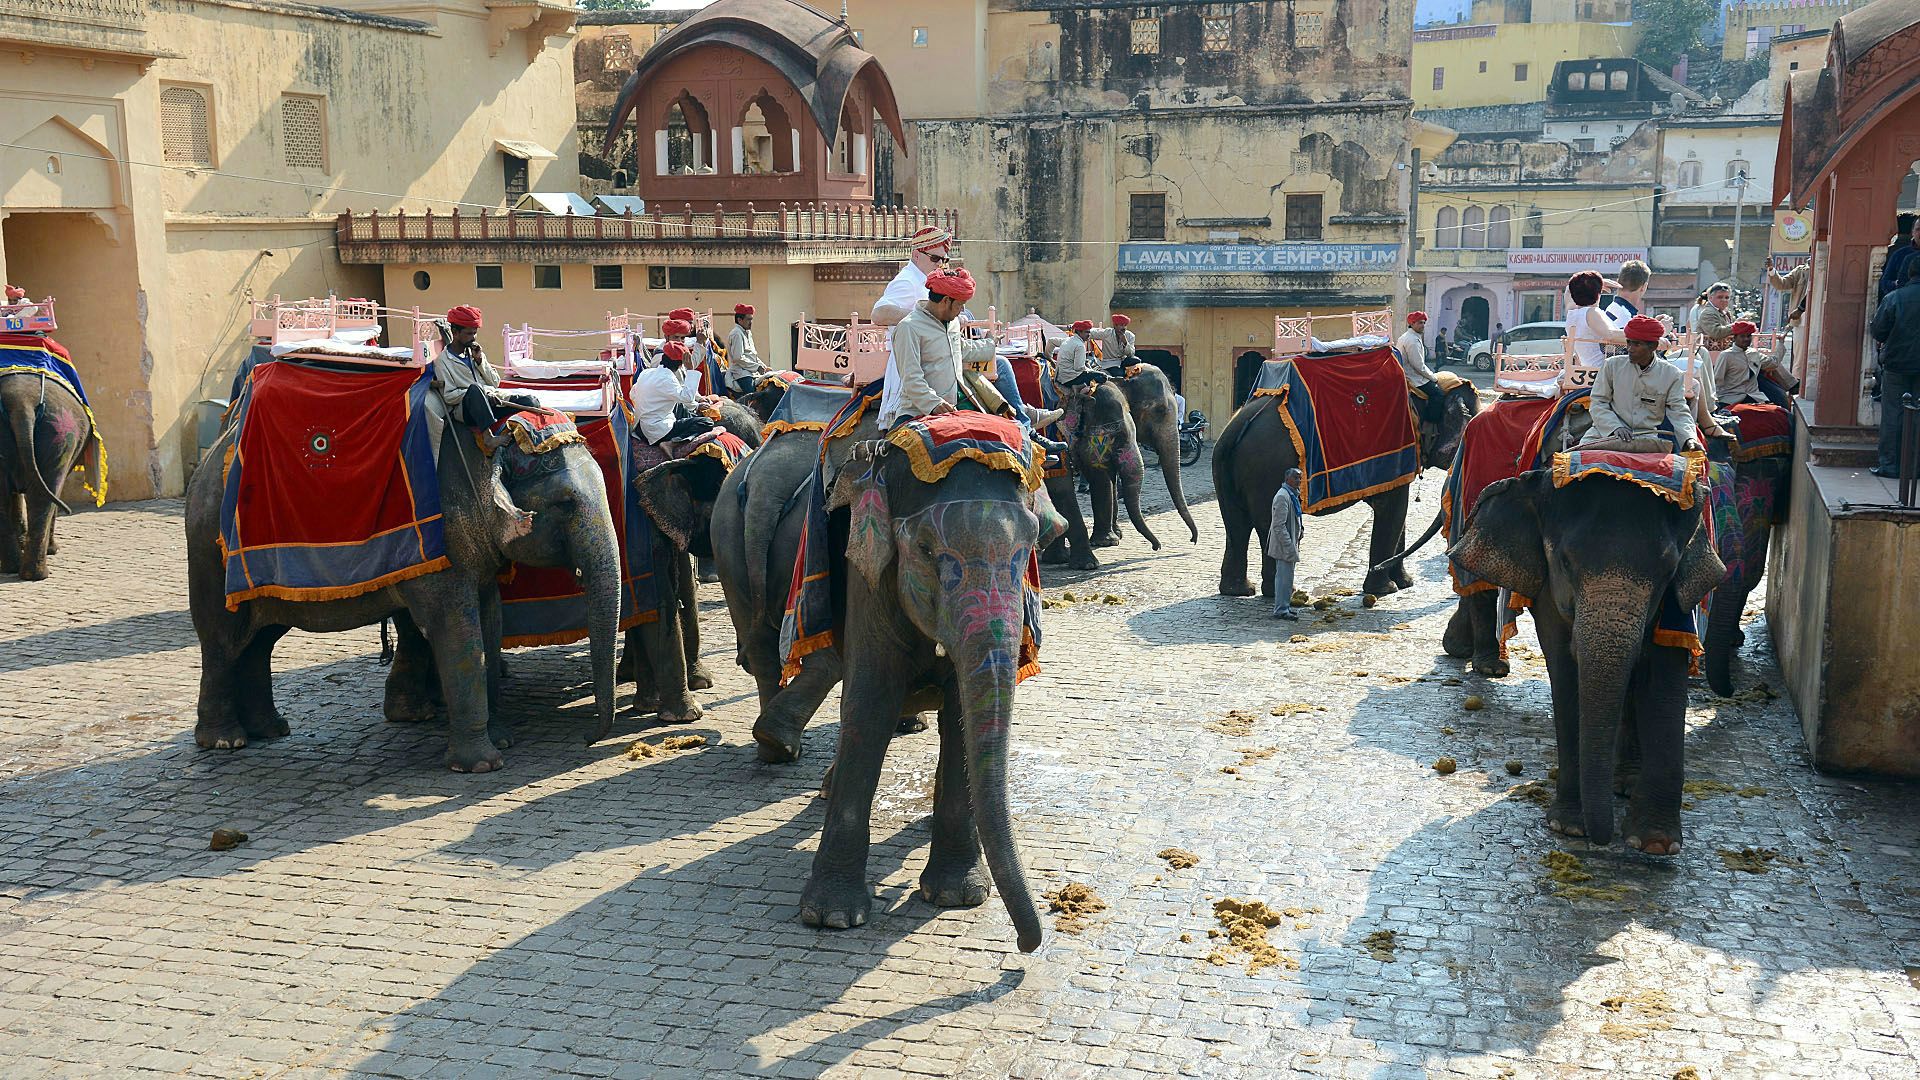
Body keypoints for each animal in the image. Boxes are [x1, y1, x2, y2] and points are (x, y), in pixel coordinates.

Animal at [1, 367, 95, 576]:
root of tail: (21, 401)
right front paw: (53, 550)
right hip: (60, 435)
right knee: (46, 495)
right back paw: (37, 574)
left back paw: (14, 569)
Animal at [187, 424, 614, 768]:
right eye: (565, 503)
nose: (587, 739)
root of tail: (208, 458)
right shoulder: (441, 538)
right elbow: (457, 629)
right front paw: (482, 765)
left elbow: (489, 619)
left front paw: (502, 739)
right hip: (210, 555)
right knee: (223, 640)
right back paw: (225, 740)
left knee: (259, 640)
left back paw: (271, 729)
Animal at [802, 432, 1059, 945]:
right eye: (923, 549)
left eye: (1032, 546)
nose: (1029, 943)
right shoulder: (869, 578)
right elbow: (869, 702)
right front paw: (831, 917)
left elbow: (959, 712)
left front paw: (957, 896)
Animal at [1213, 374, 1482, 595]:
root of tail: (1236, 428)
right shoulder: (1396, 454)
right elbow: (1394, 509)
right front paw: (1386, 589)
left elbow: (1398, 514)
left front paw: (1405, 583)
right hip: (1269, 471)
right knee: (1268, 525)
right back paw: (1282, 591)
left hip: (1226, 471)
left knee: (1237, 526)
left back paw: (1239, 591)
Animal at [1451, 466, 1728, 853]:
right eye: (1566, 562)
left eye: (1667, 569)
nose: (1605, 839)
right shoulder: (1548, 586)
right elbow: (1565, 671)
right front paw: (1569, 826)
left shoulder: (1677, 597)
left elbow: (1663, 677)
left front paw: (1655, 844)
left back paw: (1625, 784)